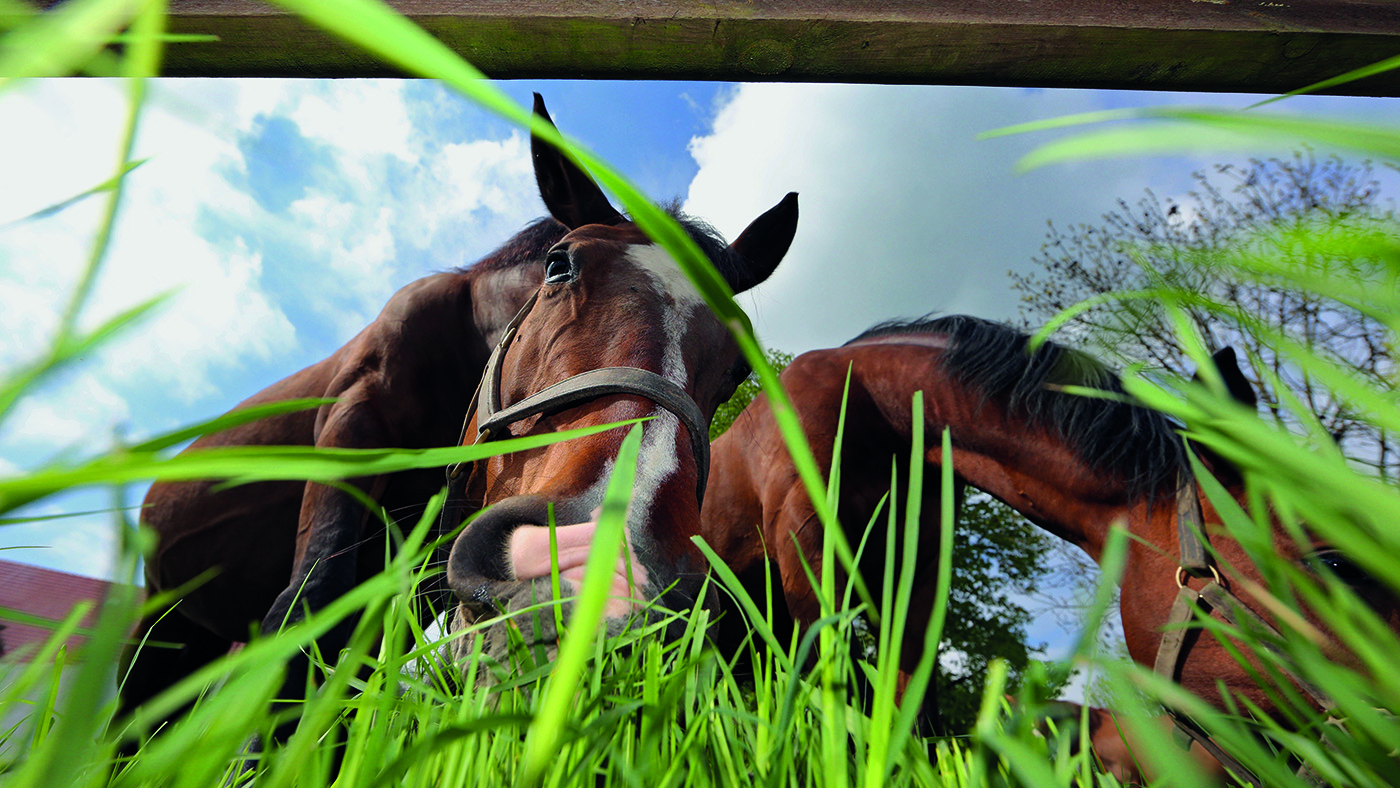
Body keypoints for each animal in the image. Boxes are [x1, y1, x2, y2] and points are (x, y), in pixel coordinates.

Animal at [120, 94, 798, 744]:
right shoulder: (353, 424)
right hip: (157, 619)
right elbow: (310, 606)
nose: (601, 563)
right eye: (560, 266)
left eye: (738, 366)